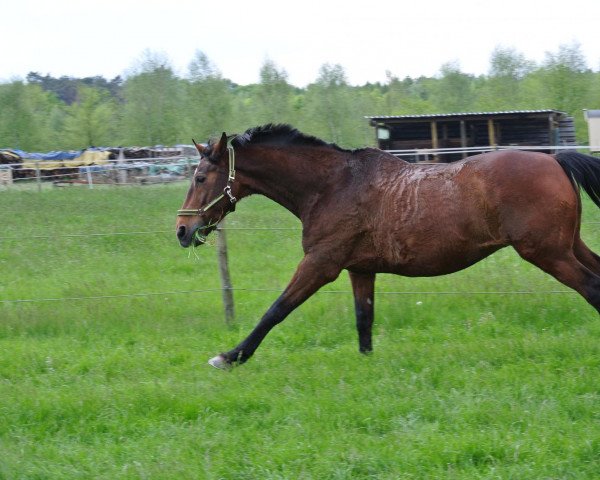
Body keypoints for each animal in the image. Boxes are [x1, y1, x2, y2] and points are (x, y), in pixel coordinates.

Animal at [176, 124, 600, 372]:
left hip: (547, 252)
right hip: (568, 246)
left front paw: (229, 356)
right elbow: (364, 319)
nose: (182, 230)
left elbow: (275, 311)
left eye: (200, 177)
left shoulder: (320, 263)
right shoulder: (360, 268)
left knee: (591, 288)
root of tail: (556, 161)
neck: (331, 186)